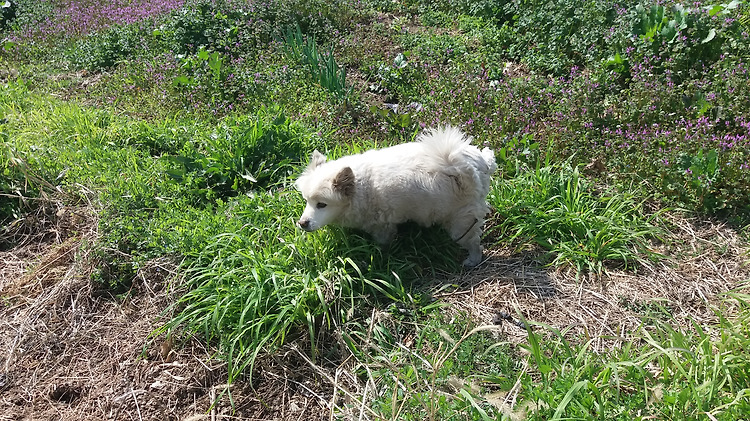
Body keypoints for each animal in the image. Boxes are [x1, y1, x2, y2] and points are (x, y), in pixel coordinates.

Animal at [296, 124, 500, 266]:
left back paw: (473, 260)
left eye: (321, 204)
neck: (360, 187)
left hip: (460, 223)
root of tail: (476, 166)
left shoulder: (382, 227)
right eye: (307, 201)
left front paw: (379, 255)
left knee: (474, 243)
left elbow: (383, 244)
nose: (302, 223)